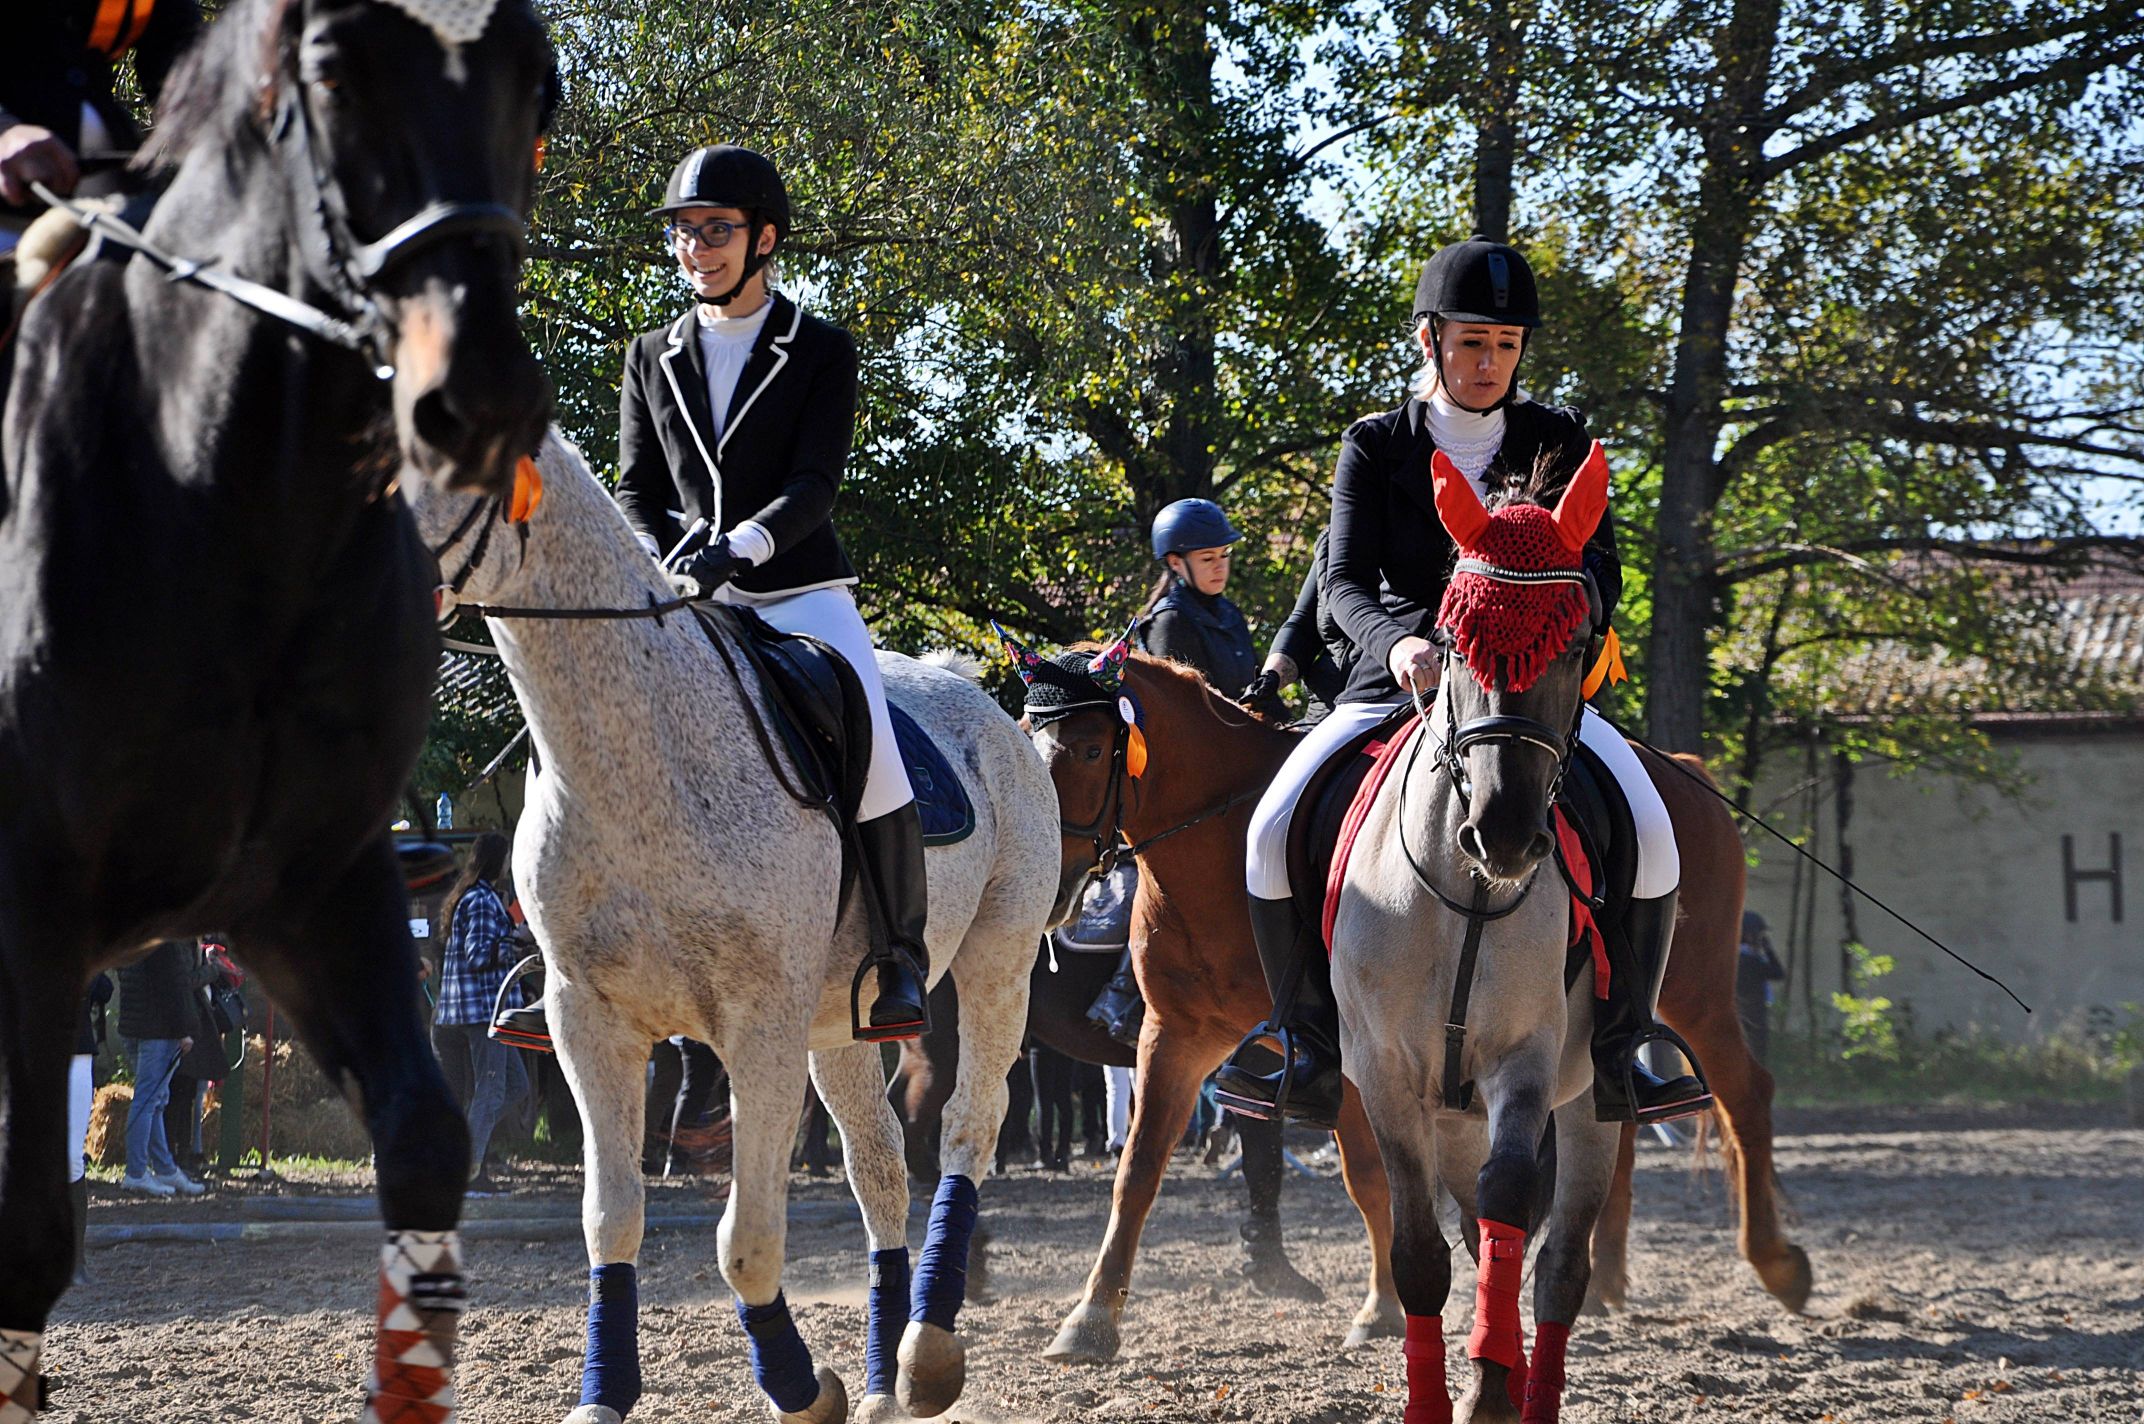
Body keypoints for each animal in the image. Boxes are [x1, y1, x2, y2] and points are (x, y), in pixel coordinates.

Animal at [2, 0, 553, 1415]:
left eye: (539, 80)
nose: (479, 399)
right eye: (338, 70)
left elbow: (425, 1143)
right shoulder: (34, 910)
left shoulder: (315, 888)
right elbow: (30, 1226)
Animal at [400, 433, 1054, 1423]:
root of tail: (970, 690)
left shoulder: (758, 1029)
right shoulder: (587, 1022)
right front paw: (604, 1395)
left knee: (969, 1127)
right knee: (879, 1167)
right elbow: (611, 1215)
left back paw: (926, 1354)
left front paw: (802, 1388)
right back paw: (880, 1382)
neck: (635, 764)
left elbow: (744, 1240)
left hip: (996, 964)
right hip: (840, 1028)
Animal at [1020, 643, 1809, 1355]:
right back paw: (1603, 1284)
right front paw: (1090, 1318)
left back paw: (1777, 1266)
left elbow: (1369, 1179)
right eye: (1029, 743)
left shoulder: (1349, 1055)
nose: (1046, 883)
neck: (1213, 846)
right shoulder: (1181, 1035)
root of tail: (1686, 771)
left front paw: (1383, 1309)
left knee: (1745, 1090)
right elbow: (1138, 1170)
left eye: (1089, 750)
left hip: (1693, 994)